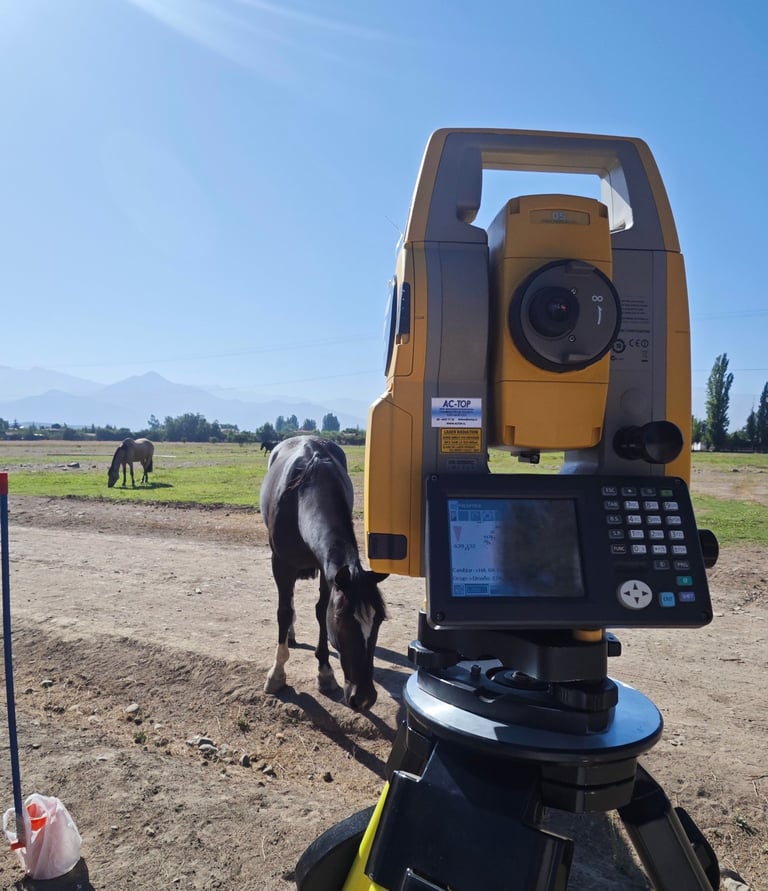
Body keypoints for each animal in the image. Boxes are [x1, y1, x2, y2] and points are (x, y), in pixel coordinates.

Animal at [260, 435, 387, 711]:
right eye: (341, 620)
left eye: (379, 621)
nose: (364, 698)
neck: (302, 497)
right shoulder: (280, 563)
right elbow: (283, 612)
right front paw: (277, 673)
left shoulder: (328, 571)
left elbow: (320, 610)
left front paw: (325, 672)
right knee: (288, 603)